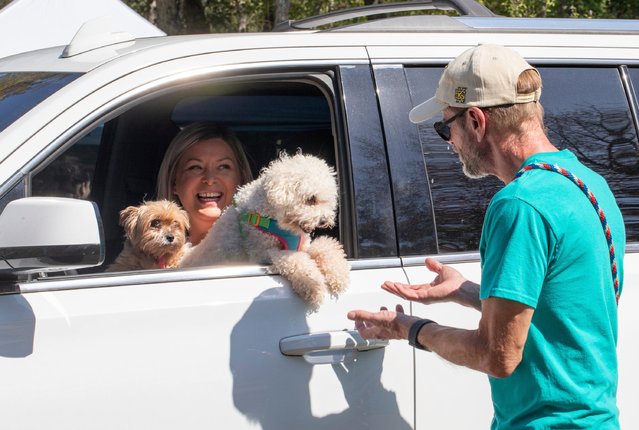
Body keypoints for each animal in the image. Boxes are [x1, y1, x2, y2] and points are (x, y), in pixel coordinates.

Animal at [180, 153, 350, 308]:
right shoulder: (263, 253)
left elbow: (324, 246)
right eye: (311, 199)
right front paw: (314, 286)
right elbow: (296, 261)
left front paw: (338, 275)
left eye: (327, 200)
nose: (324, 221)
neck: (270, 216)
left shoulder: (303, 246)